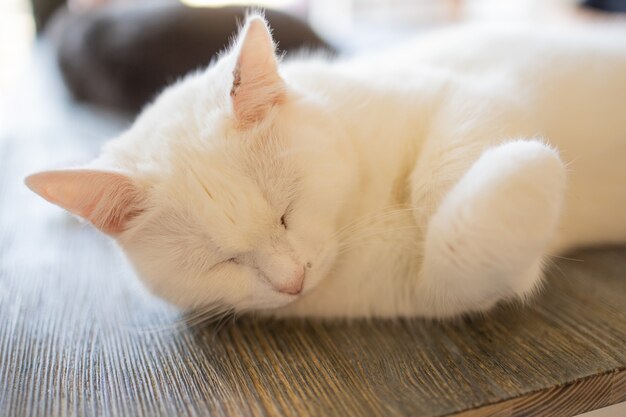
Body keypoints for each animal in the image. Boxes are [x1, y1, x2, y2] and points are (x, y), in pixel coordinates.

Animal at [26, 14, 624, 316]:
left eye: (286, 211)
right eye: (222, 260)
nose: (292, 282)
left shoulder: (474, 92)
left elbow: (440, 176)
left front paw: (473, 182)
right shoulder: (434, 291)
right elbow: (463, 257)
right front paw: (526, 179)